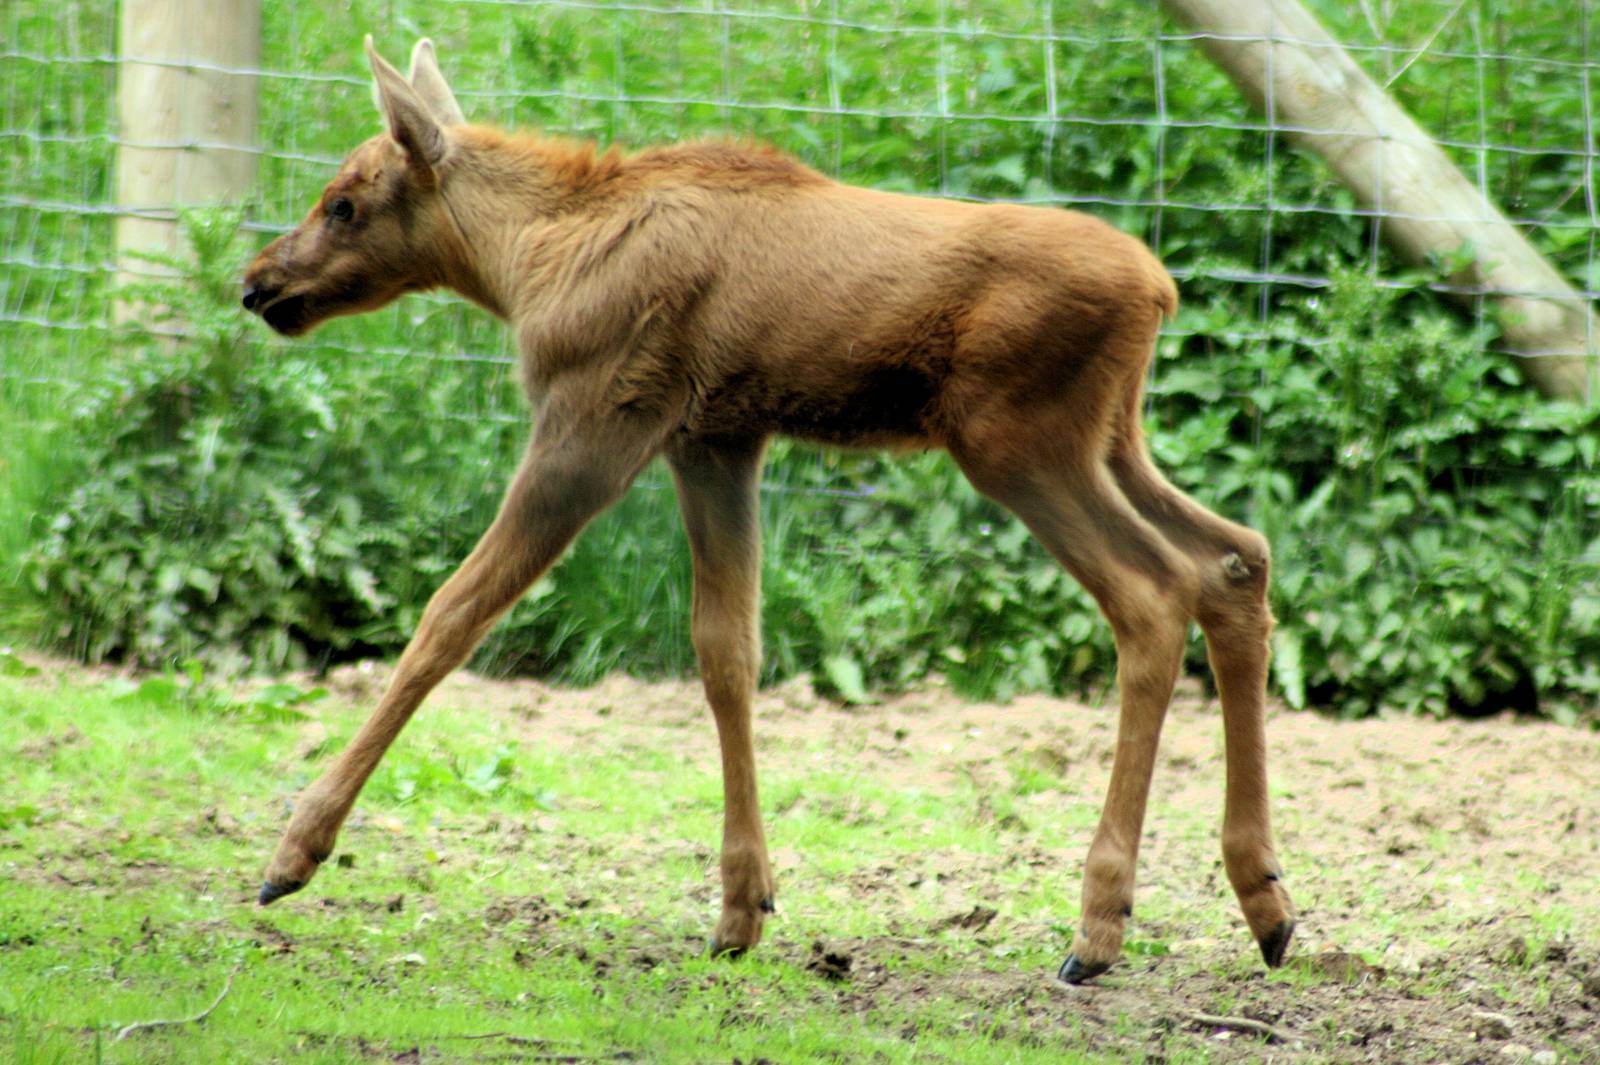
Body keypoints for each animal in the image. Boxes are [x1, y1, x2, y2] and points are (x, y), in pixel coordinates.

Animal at [241, 36, 1295, 984]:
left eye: (344, 201)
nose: (259, 281)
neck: (521, 260)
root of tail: (1160, 290)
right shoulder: (716, 441)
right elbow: (727, 650)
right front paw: (742, 905)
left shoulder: (593, 424)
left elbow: (449, 613)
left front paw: (295, 851)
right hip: (1111, 437)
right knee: (1233, 558)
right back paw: (1266, 899)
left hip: (1019, 441)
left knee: (1153, 597)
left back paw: (1100, 924)